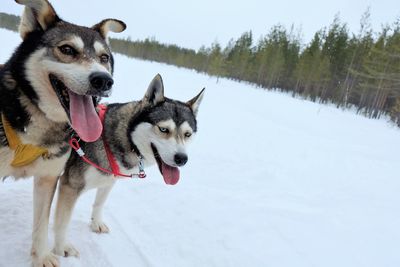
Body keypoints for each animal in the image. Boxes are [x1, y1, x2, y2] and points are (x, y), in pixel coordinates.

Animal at [0, 1, 125, 266]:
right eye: (67, 49)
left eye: (104, 57)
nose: (104, 80)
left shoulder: (48, 179)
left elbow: (41, 225)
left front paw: (41, 257)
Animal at [52, 74, 203, 258]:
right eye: (163, 129)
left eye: (187, 134)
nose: (182, 158)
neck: (124, 138)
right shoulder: (70, 186)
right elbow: (62, 222)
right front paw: (61, 248)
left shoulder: (109, 180)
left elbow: (99, 203)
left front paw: (96, 223)